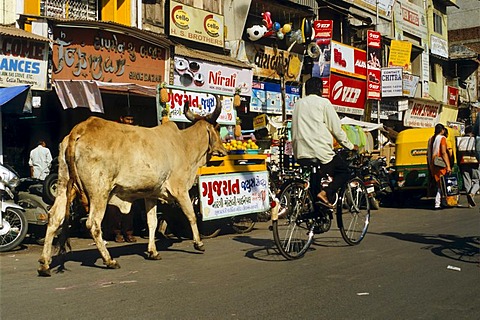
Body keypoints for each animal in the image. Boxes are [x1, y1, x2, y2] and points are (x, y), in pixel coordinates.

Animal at [36, 97, 228, 276]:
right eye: (218, 128)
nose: (224, 150)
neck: (184, 144)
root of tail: (79, 130)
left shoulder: (150, 195)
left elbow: (152, 222)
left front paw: (153, 252)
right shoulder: (180, 189)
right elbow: (191, 215)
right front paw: (199, 243)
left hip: (64, 186)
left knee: (54, 217)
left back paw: (45, 264)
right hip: (99, 192)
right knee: (93, 223)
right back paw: (109, 260)